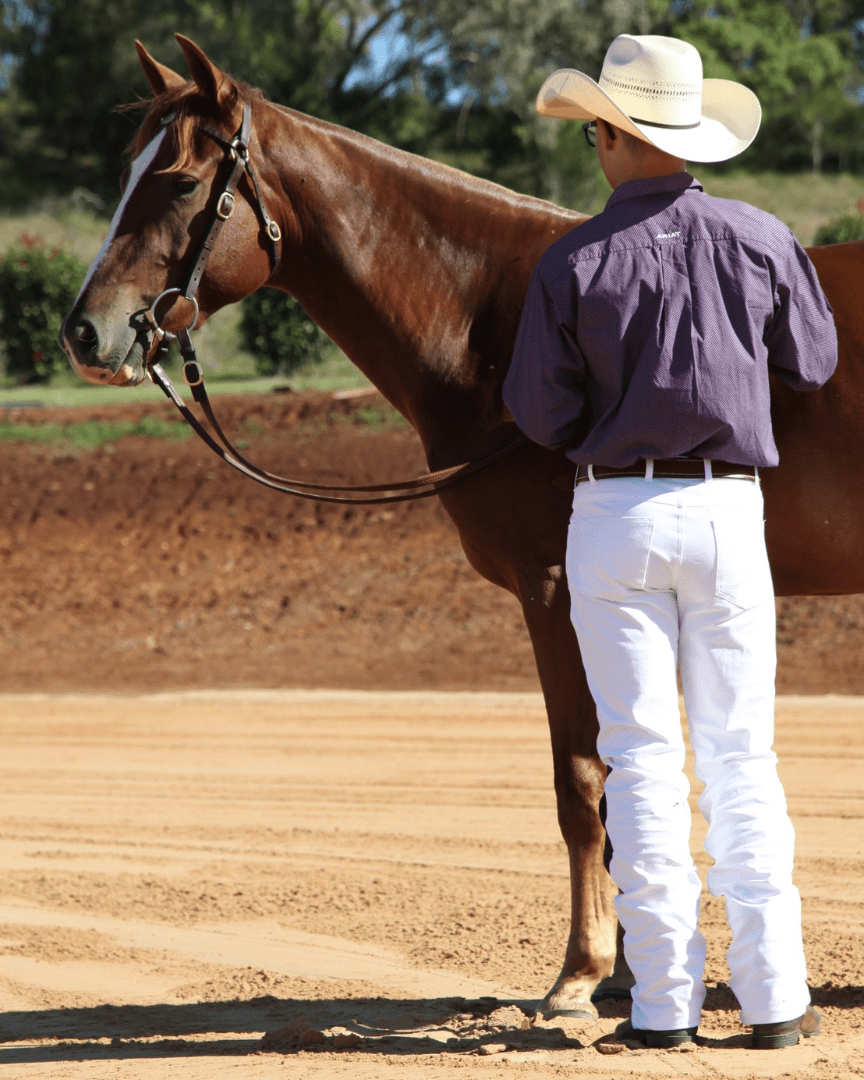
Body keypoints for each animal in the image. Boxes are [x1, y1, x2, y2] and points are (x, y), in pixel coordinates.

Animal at [60, 34, 864, 1019]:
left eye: (176, 181)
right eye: (127, 173)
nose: (84, 333)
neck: (489, 319)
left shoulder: (555, 592)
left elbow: (584, 778)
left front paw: (582, 974)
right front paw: (626, 973)